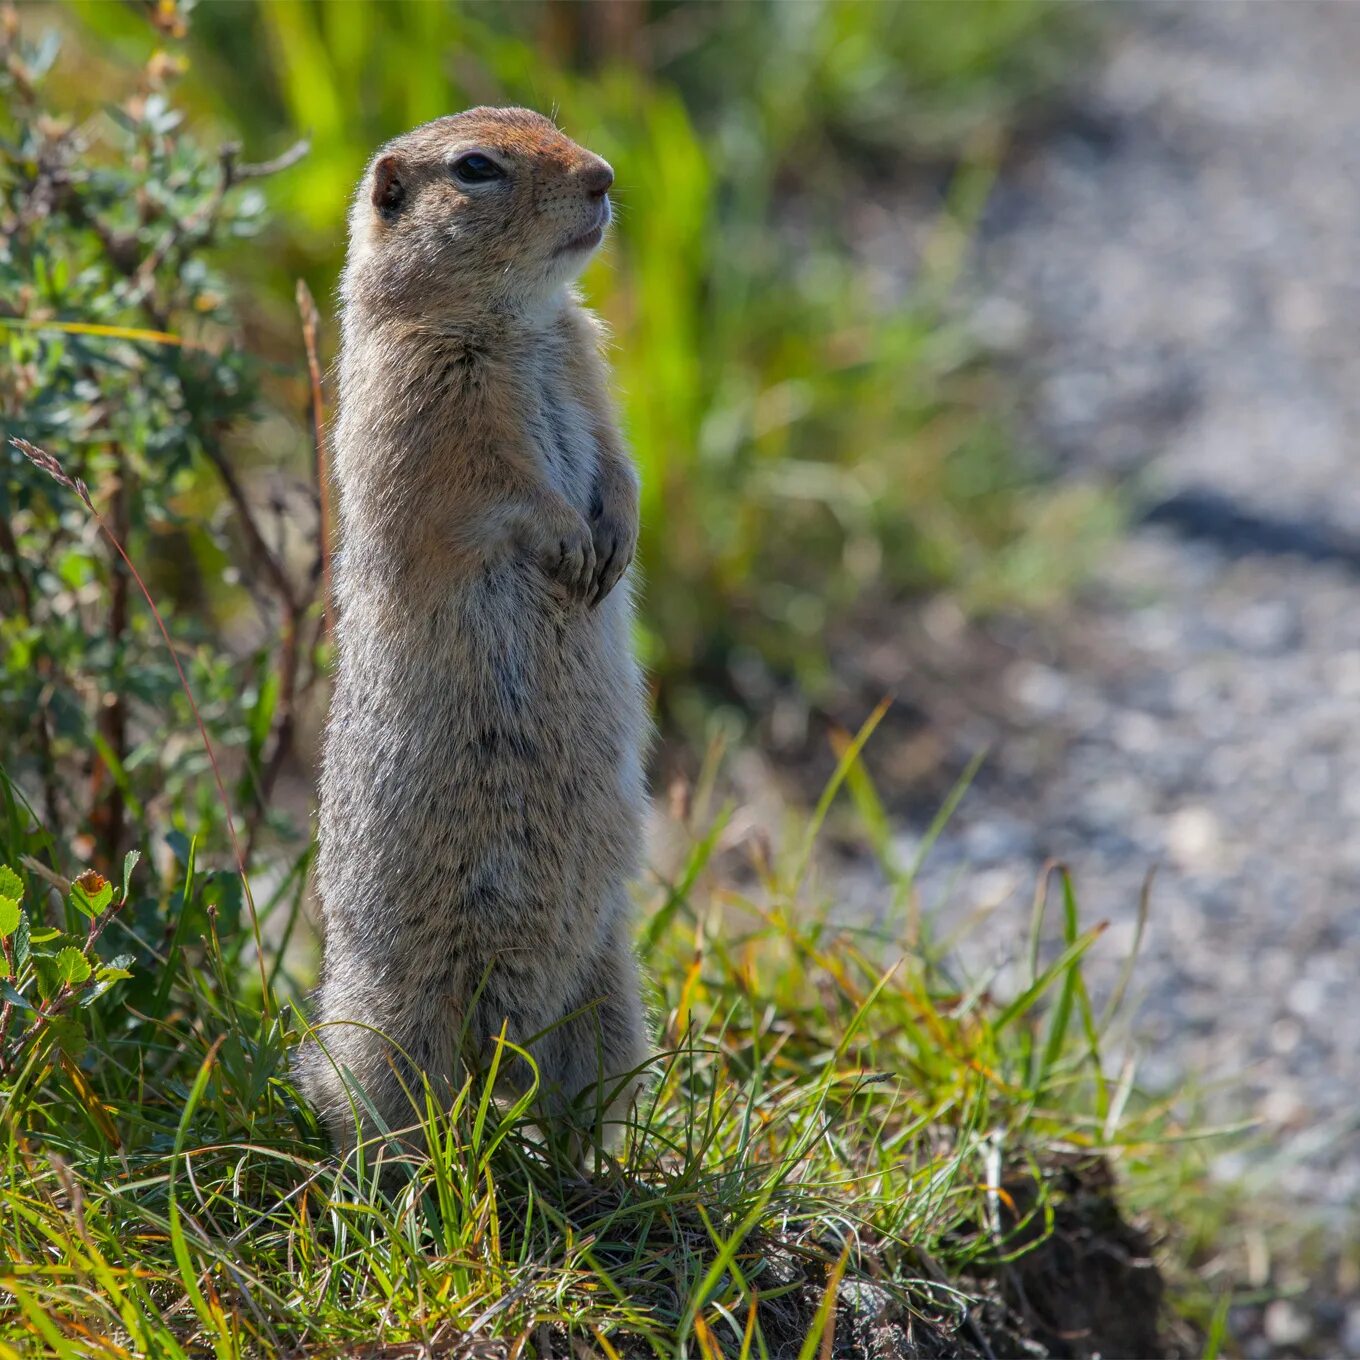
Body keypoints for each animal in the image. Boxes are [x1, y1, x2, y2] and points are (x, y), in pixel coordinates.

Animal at [304, 106, 652, 1158]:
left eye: (546, 120)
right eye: (475, 168)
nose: (603, 174)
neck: (520, 322)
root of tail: (504, 1045)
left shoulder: (585, 362)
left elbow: (618, 459)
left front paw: (616, 536)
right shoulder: (432, 403)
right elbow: (492, 489)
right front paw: (571, 541)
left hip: (609, 994)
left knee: (572, 1101)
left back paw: (587, 1170)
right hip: (392, 1017)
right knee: (396, 1110)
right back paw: (422, 1173)